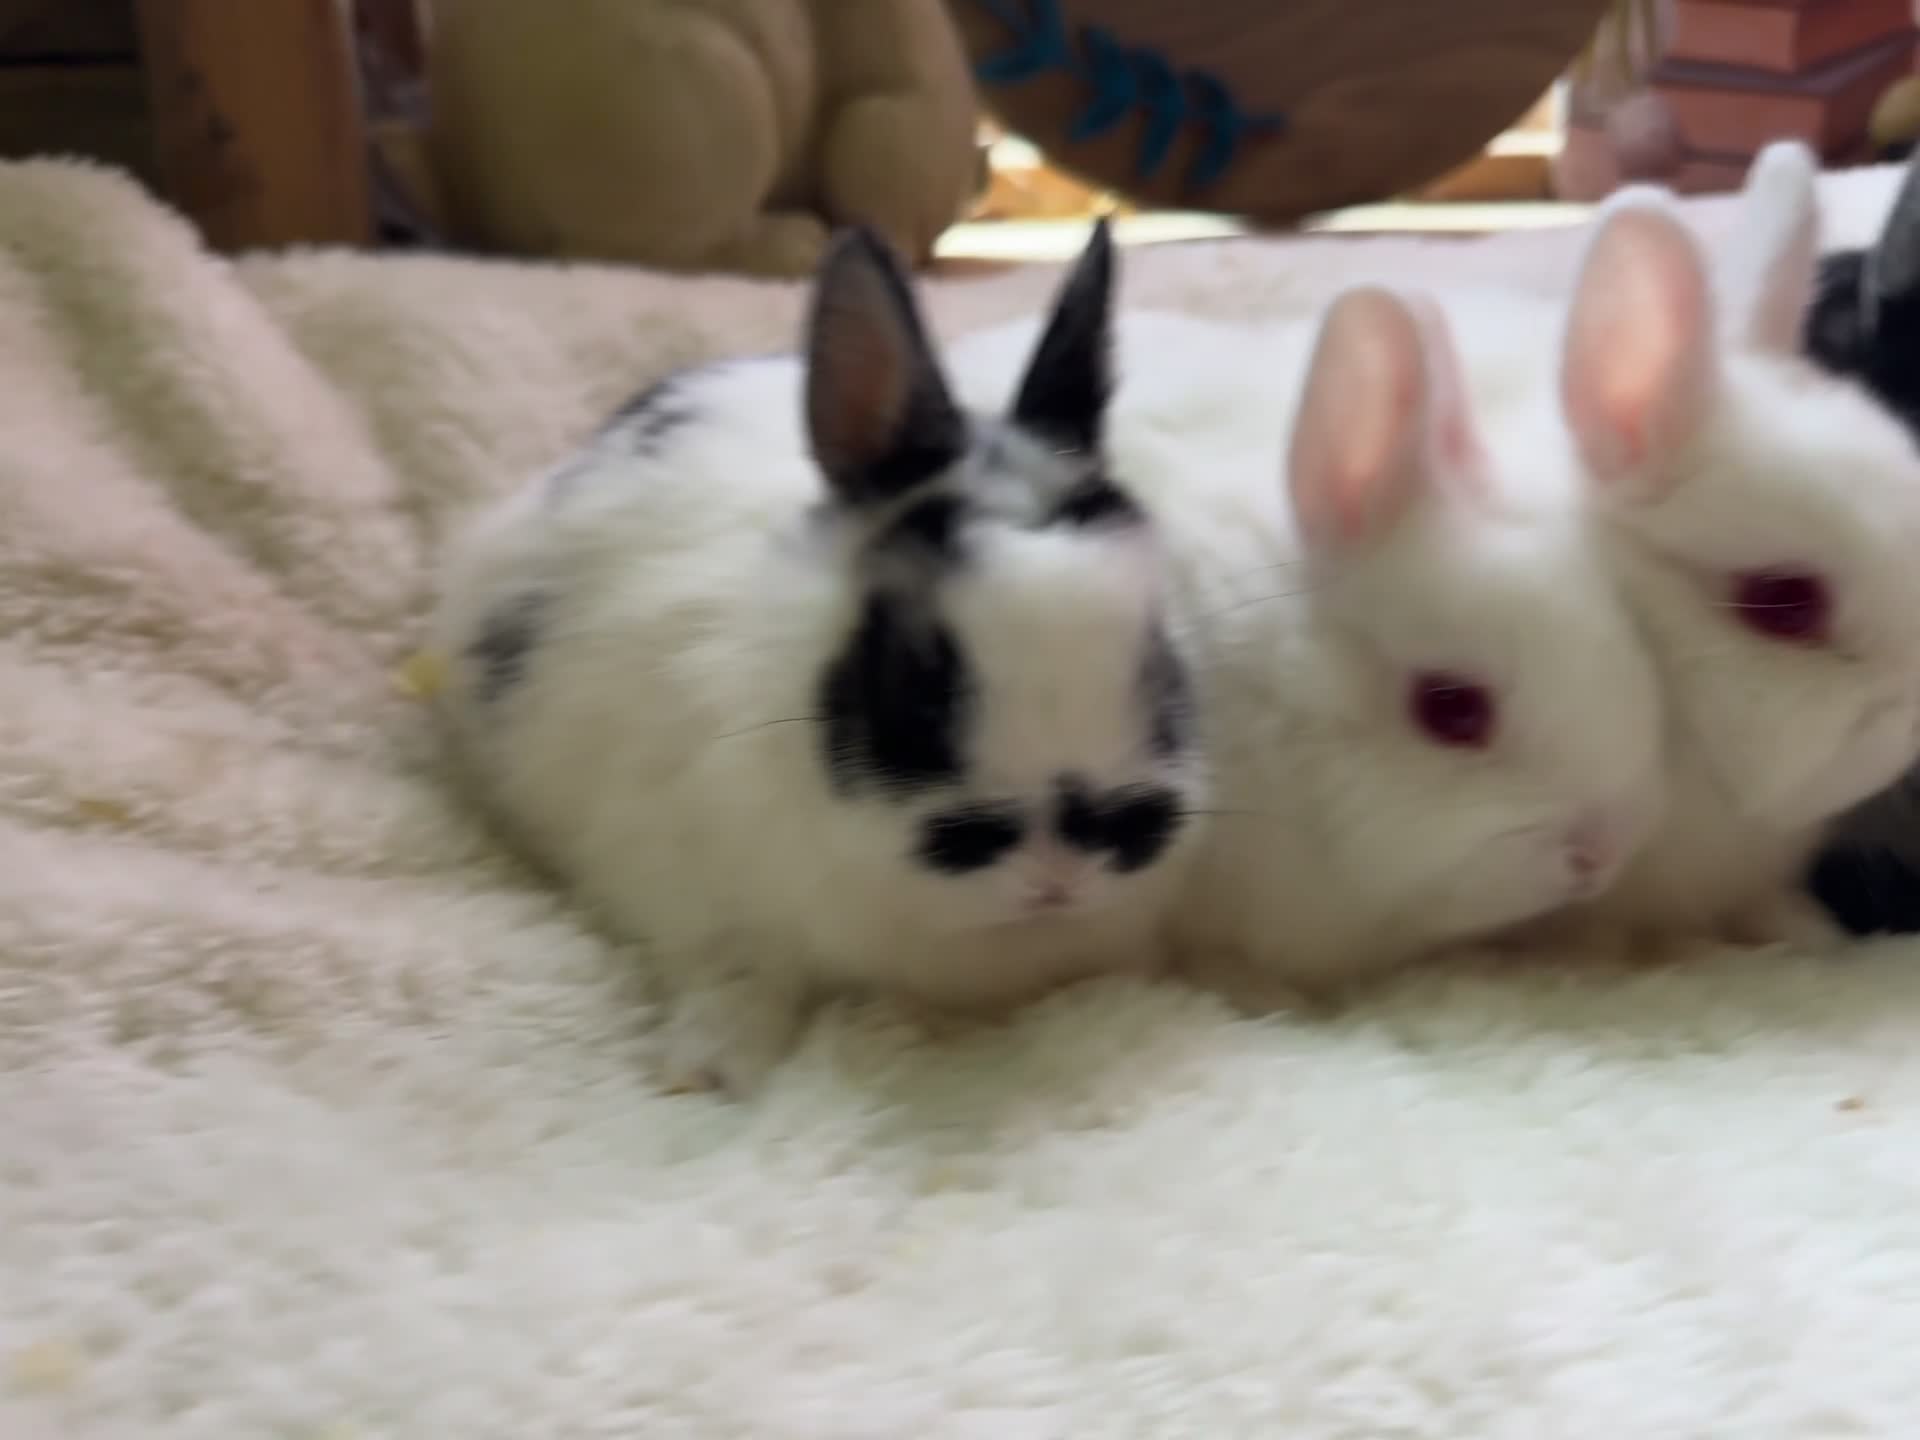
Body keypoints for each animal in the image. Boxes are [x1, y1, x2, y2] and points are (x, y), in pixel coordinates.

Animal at [424, 221, 1208, 1095]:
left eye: (1161, 663)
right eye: (912, 679)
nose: (1061, 872)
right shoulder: (692, 891)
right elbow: (737, 970)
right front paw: (711, 1070)